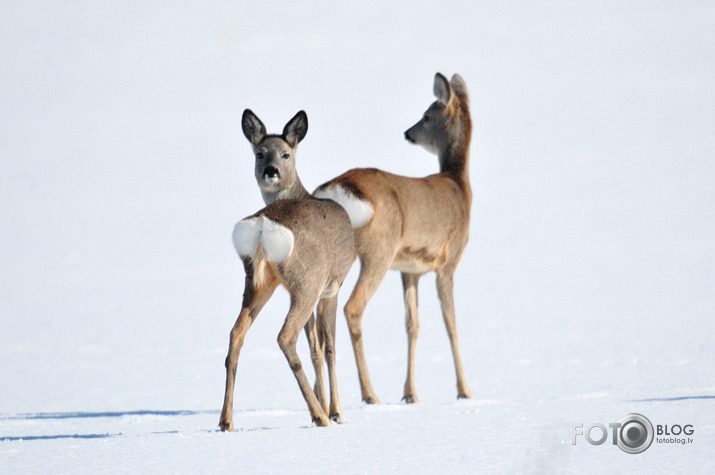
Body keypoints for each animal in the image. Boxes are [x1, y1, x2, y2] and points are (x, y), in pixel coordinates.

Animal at [218, 109, 352, 432]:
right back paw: (321, 417)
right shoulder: (332, 287)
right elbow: (329, 348)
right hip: (307, 281)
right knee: (285, 337)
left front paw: (326, 406)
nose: (271, 171)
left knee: (235, 335)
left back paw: (226, 421)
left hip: (258, 283)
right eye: (260, 153)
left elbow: (316, 348)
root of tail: (262, 224)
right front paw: (336, 412)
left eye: (285, 154)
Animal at [314, 73, 472, 406]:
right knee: (352, 308)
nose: (408, 133)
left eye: (426, 117)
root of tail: (336, 189)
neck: (460, 186)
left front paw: (410, 393)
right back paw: (369, 394)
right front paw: (464, 390)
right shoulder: (448, 261)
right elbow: (451, 324)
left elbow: (412, 325)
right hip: (378, 252)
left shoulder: (409, 270)